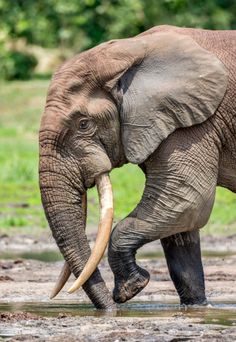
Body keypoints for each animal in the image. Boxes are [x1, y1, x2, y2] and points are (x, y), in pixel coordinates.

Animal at [39, 25, 236, 310]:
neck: (128, 51)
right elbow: (181, 223)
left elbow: (187, 201)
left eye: (84, 124)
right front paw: (196, 308)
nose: (111, 310)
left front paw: (130, 288)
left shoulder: (195, 123)